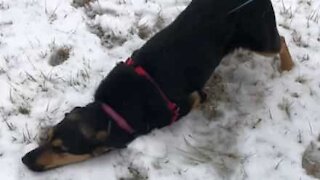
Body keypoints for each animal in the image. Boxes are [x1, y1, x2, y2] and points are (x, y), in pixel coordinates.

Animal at [21, 0, 292, 172]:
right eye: (48, 136)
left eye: (63, 149)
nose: (25, 160)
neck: (111, 109)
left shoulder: (190, 100)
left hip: (260, 40)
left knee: (281, 41)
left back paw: (288, 67)